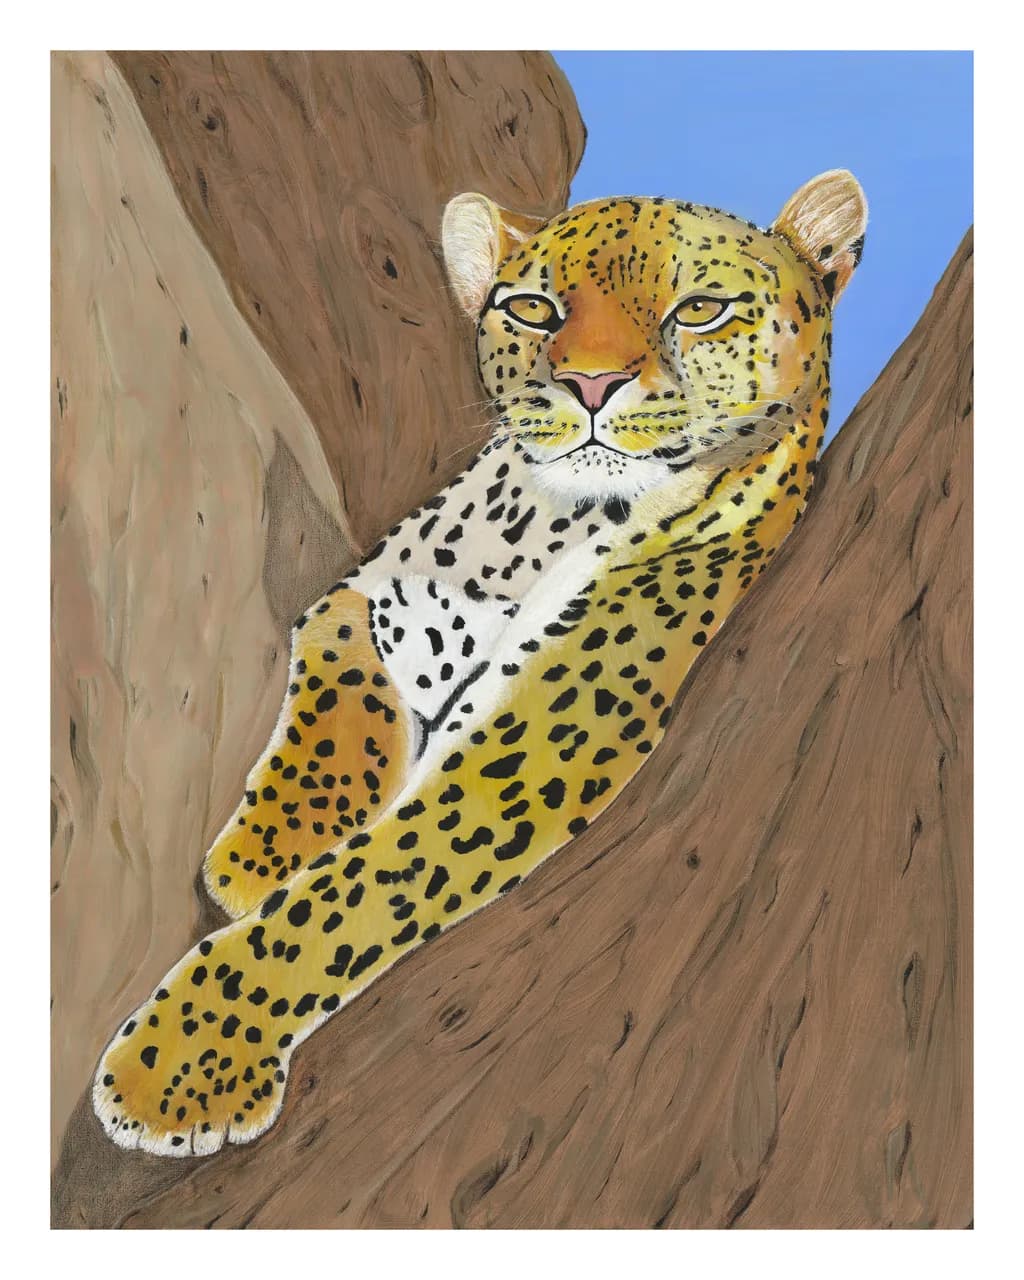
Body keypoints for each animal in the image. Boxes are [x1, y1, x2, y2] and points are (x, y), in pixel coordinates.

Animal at [93, 169, 867, 1155]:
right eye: (534, 309)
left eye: (699, 309)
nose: (588, 383)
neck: (537, 526)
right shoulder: (367, 591)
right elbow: (339, 684)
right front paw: (268, 851)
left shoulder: (538, 742)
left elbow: (353, 893)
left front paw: (183, 1064)